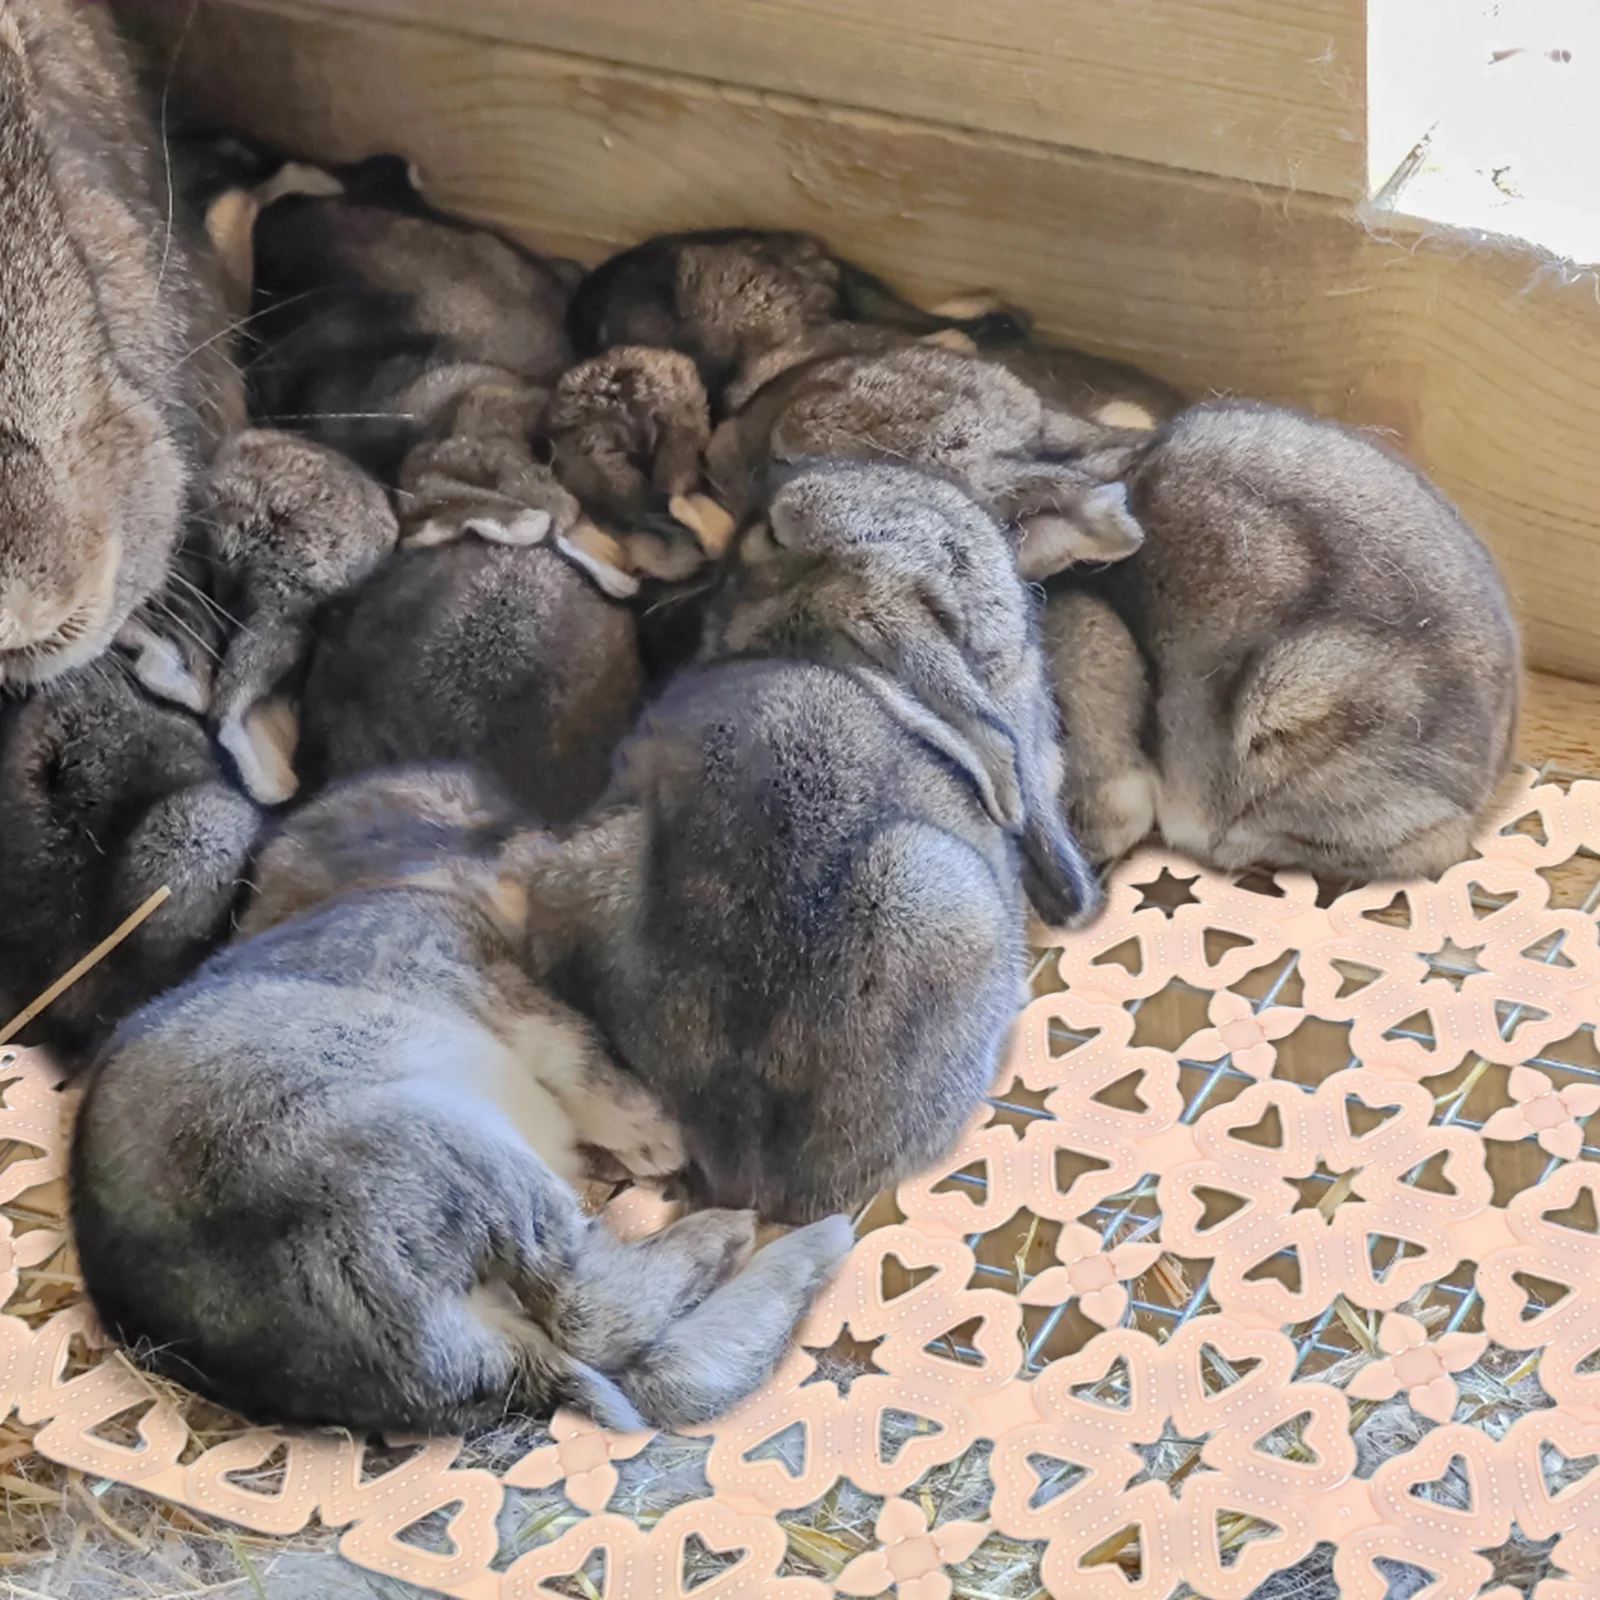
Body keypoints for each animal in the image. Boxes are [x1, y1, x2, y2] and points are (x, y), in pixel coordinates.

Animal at [72, 846, 854, 1434]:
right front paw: (660, 1141)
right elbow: (588, 1069)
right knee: (590, 1308)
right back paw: (758, 1232)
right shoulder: (514, 999)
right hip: (459, 1148)